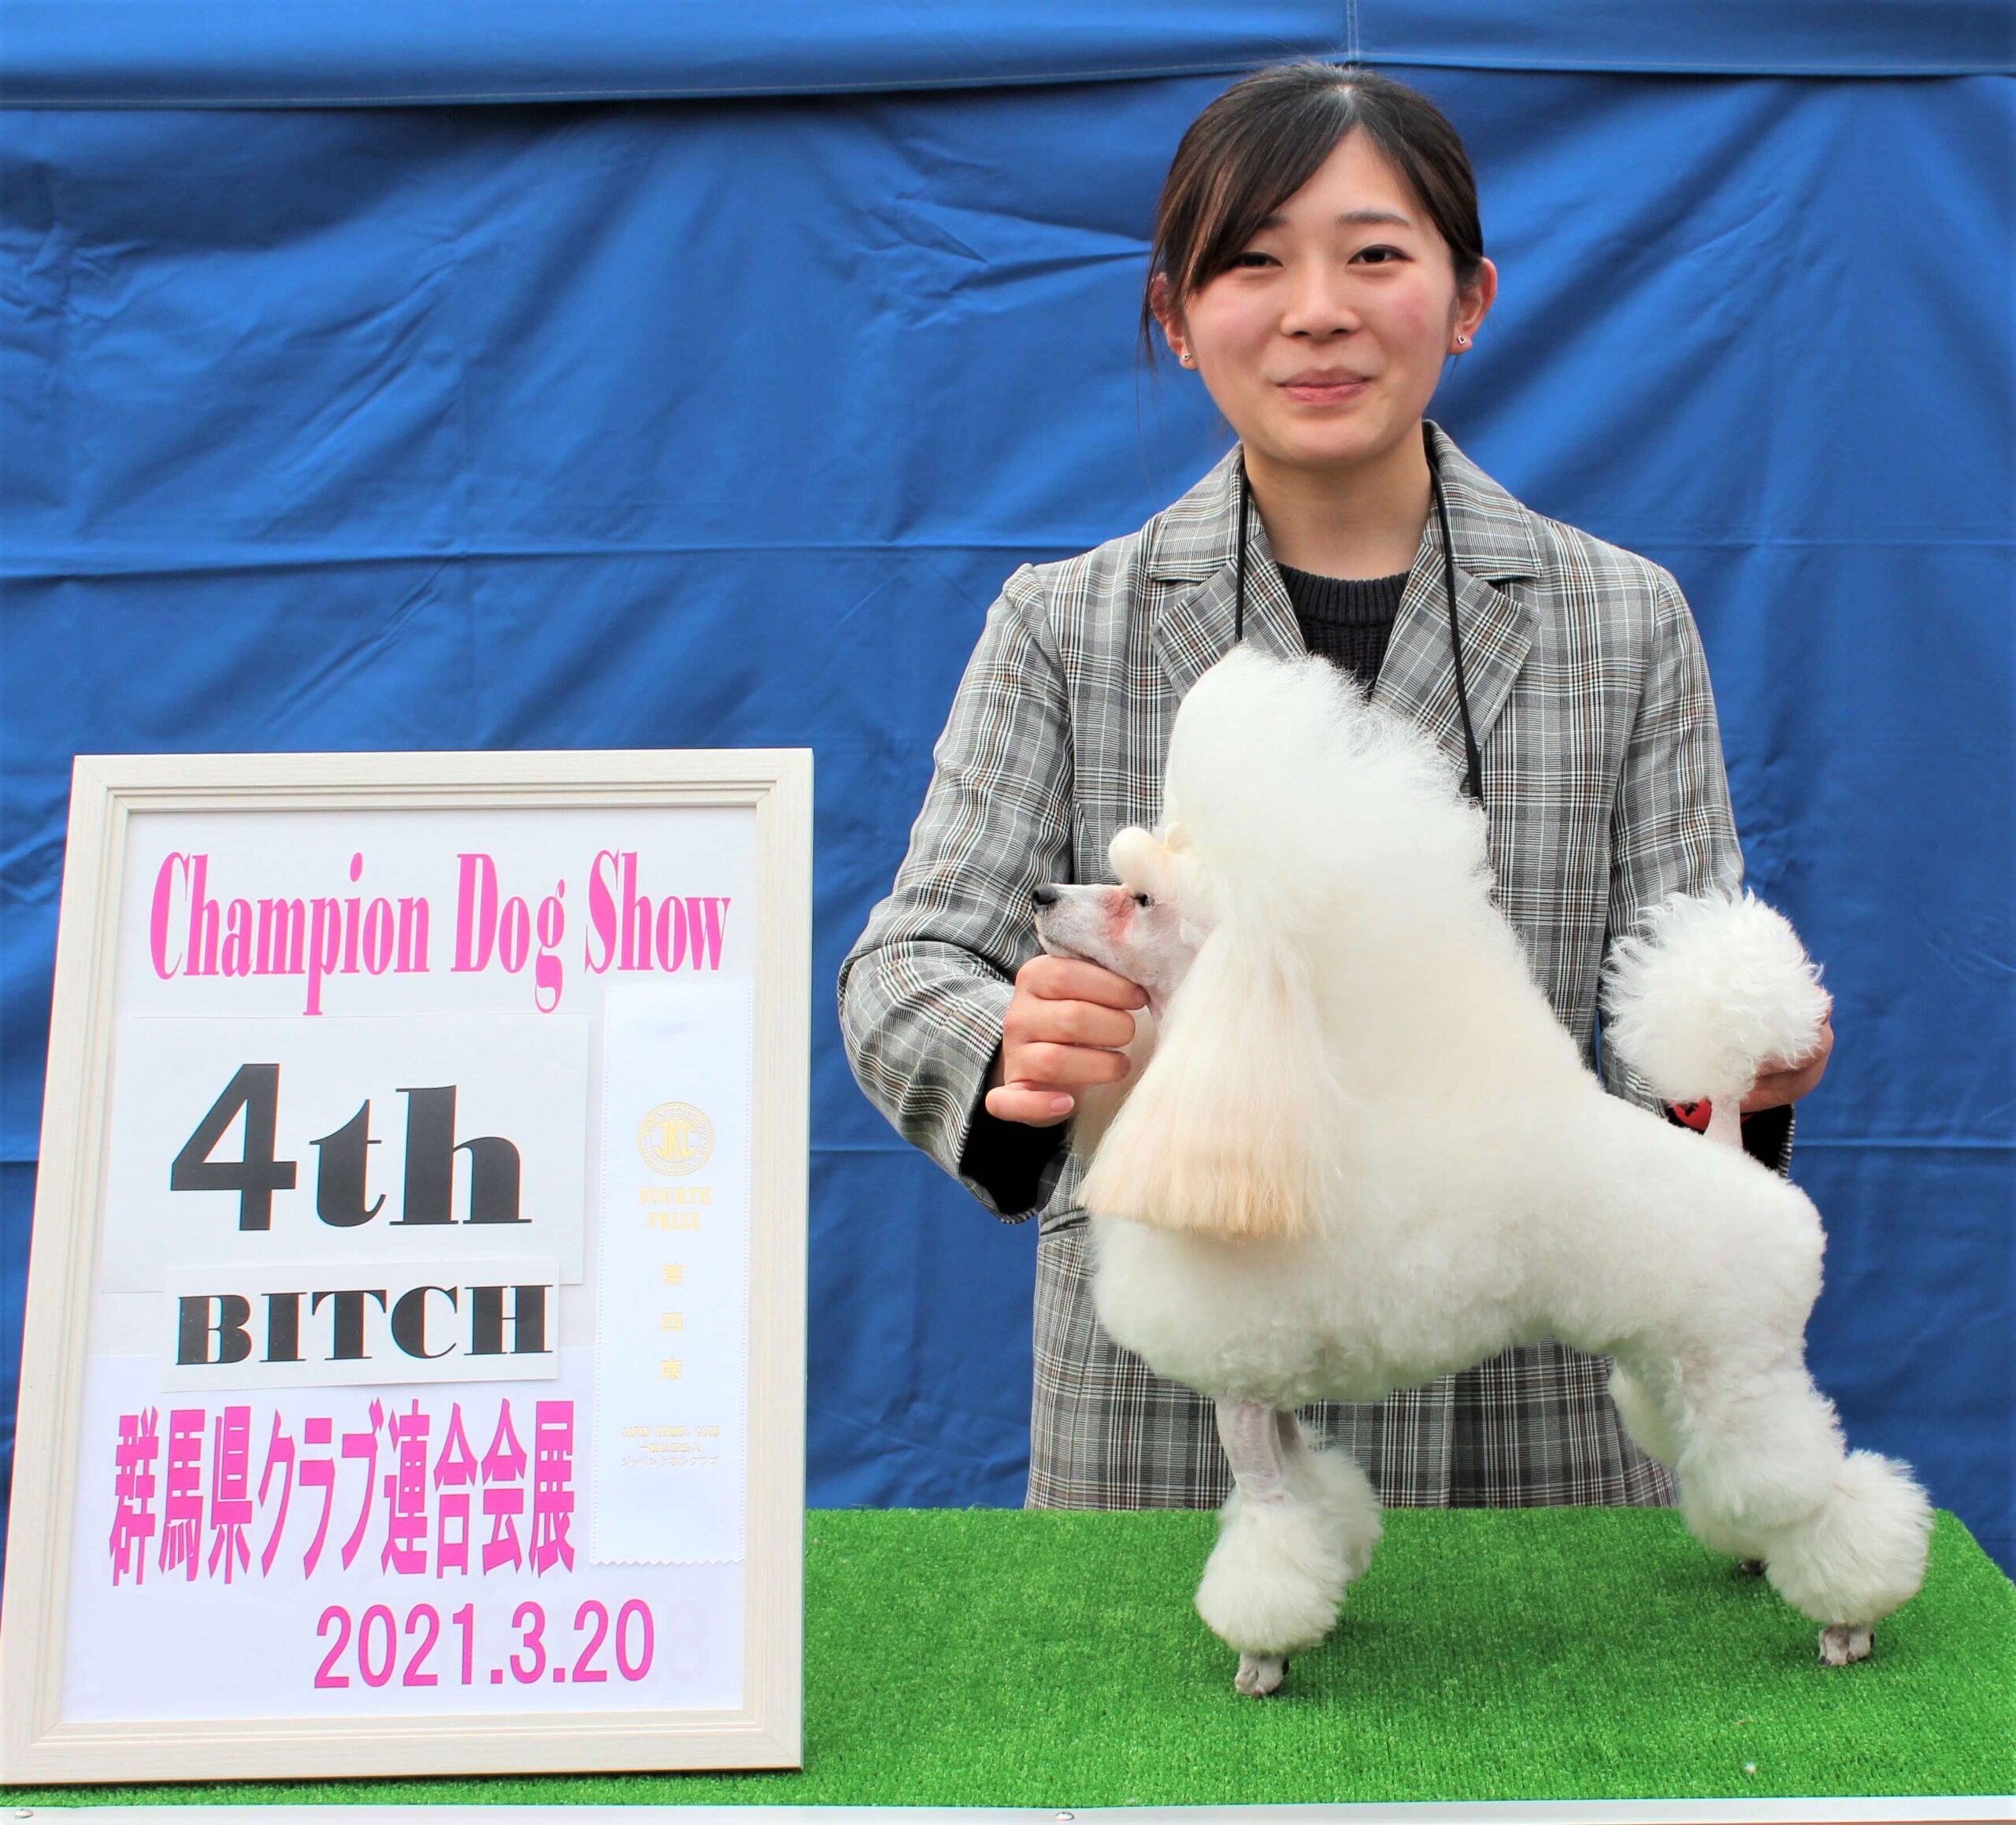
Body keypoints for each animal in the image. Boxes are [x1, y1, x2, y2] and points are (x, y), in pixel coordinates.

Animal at [1031, 646, 1930, 1695]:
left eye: (1139, 901)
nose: (1042, 898)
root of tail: (1734, 1160)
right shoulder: (1274, 1384)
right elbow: (1307, 1489)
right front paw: (1327, 1579)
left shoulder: (1243, 1387)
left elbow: (1266, 1516)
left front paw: (1261, 1654)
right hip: (1670, 1357)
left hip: (1738, 1359)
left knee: (1817, 1485)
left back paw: (1848, 1619)